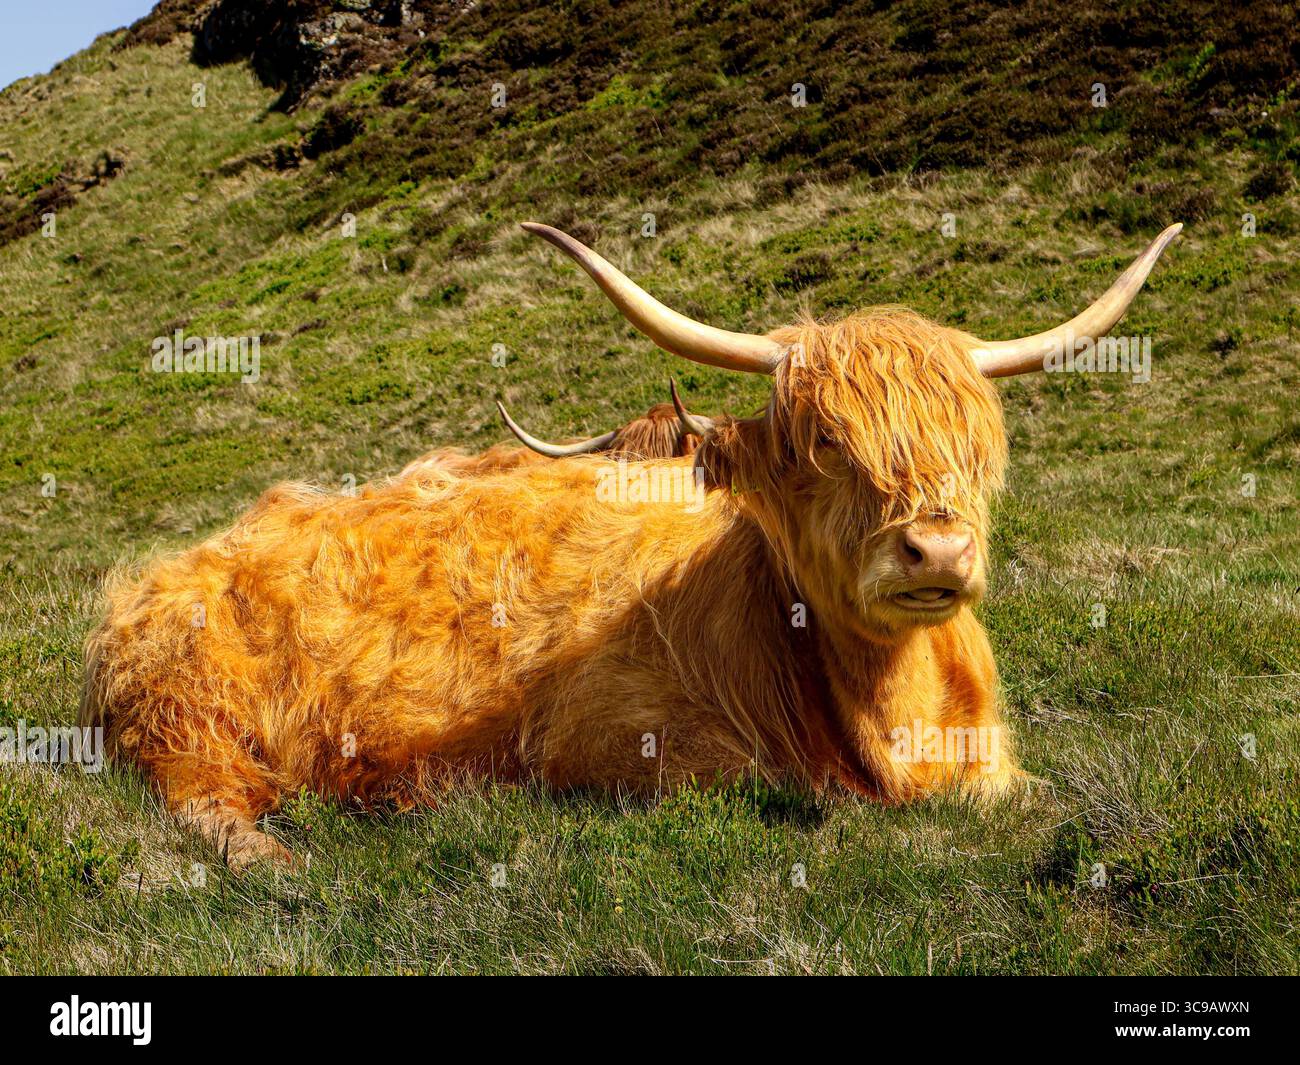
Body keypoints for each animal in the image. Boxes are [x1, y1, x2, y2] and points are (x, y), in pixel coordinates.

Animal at [80, 221, 1181, 868]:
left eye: (975, 446)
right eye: (823, 442)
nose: (938, 553)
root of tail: (159, 573)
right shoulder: (610, 738)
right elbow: (765, 784)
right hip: (194, 713)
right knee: (203, 801)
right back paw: (294, 849)